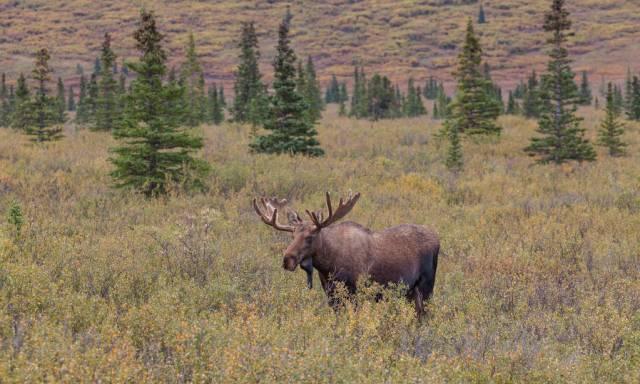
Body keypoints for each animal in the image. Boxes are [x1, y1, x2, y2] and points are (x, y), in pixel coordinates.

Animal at [252, 192, 438, 318]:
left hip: (426, 286)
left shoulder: (355, 292)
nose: (287, 260)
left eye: (310, 237)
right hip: (410, 291)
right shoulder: (331, 294)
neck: (327, 266)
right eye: (292, 235)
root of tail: (437, 238)